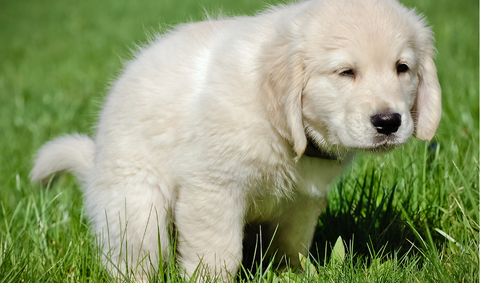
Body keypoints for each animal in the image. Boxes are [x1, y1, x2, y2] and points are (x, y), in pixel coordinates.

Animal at [31, 0, 440, 280]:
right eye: (346, 72)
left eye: (402, 68)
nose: (389, 121)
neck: (280, 126)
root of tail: (95, 164)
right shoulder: (212, 191)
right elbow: (218, 254)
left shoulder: (303, 202)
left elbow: (292, 247)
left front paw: (294, 274)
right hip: (136, 207)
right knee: (134, 257)